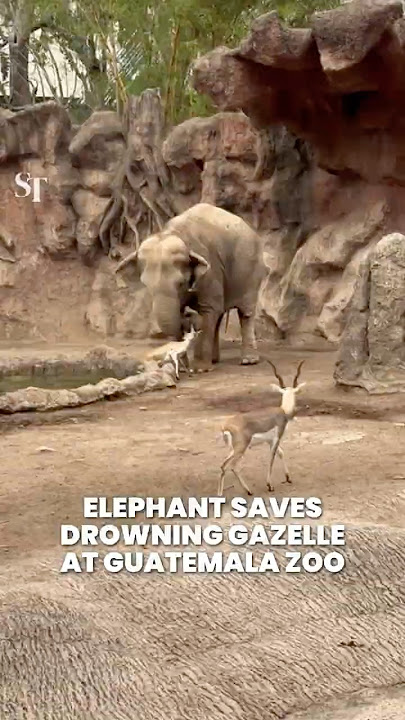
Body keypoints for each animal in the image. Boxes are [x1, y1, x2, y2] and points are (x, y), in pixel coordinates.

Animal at [115, 203, 265, 372]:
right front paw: (182, 366)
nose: (186, 318)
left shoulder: (211, 268)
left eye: (181, 283)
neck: (175, 233)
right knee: (219, 315)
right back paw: (214, 360)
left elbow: (209, 309)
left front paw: (200, 369)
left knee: (245, 312)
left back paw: (248, 361)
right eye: (147, 286)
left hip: (251, 267)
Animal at [218, 360, 306, 495]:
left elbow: (281, 453)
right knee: (233, 466)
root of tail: (226, 427)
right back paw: (248, 491)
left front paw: (288, 477)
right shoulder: (277, 438)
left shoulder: (269, 441)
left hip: (233, 449)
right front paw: (269, 485)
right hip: (241, 449)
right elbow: (271, 458)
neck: (283, 411)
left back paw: (222, 494)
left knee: (223, 465)